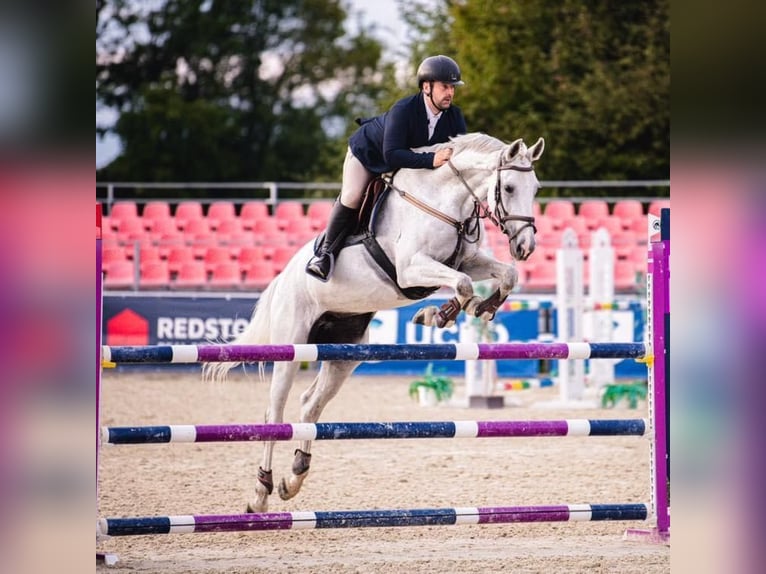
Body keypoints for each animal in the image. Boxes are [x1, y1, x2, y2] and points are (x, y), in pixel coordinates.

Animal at [206, 134, 544, 512]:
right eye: (510, 187)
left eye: (536, 188)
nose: (525, 246)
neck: (444, 201)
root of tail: (281, 279)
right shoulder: (412, 269)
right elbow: (462, 283)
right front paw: (439, 314)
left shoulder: (467, 260)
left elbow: (503, 275)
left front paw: (481, 307)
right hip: (290, 346)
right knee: (273, 414)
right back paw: (260, 494)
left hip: (344, 354)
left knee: (310, 403)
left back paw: (294, 478)